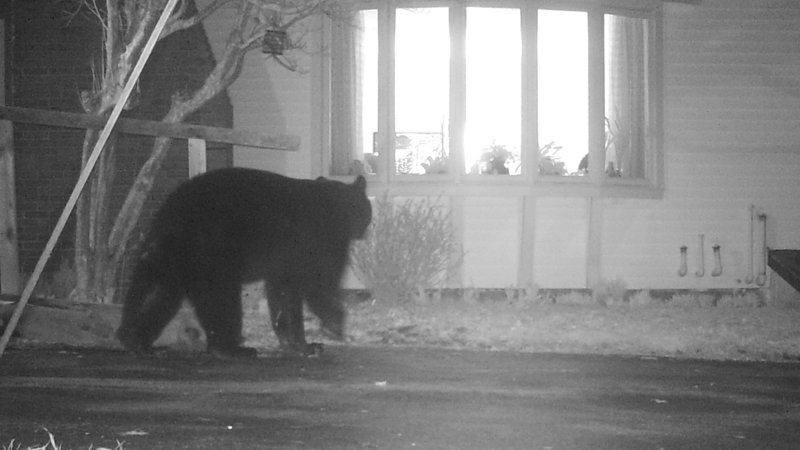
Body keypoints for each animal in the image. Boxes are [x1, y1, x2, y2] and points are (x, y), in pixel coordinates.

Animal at [117, 169, 374, 358]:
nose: (364, 231)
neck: (335, 207)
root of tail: (170, 214)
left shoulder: (283, 262)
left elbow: (283, 293)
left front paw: (298, 343)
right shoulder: (318, 241)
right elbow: (318, 282)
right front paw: (333, 326)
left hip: (172, 258)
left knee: (158, 295)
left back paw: (139, 342)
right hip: (212, 253)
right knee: (221, 300)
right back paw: (232, 348)